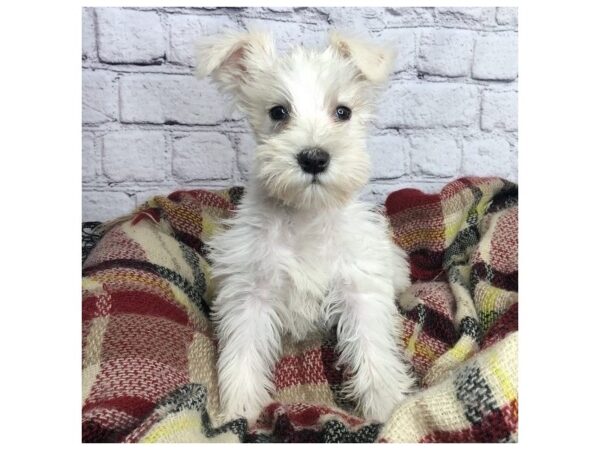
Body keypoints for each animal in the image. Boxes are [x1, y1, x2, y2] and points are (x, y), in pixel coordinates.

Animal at [195, 29, 414, 424]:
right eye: (278, 112)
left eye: (343, 112)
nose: (314, 158)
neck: (306, 216)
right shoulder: (249, 294)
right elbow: (243, 352)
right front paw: (240, 409)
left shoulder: (360, 288)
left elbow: (372, 346)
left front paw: (387, 405)